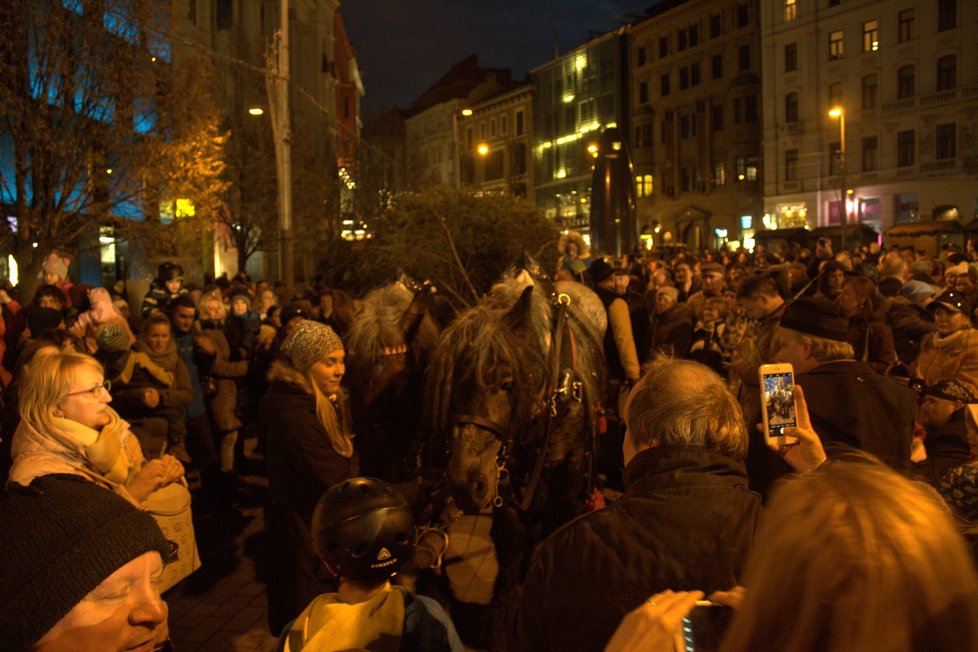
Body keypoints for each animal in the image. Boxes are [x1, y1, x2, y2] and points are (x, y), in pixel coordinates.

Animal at [422, 268, 608, 648]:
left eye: (507, 382)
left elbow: (557, 531)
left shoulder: (569, 474)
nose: (465, 483)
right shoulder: (507, 480)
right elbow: (512, 542)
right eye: (450, 385)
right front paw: (504, 618)